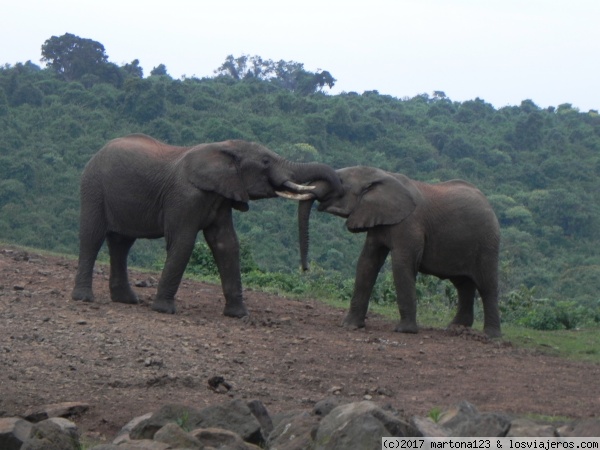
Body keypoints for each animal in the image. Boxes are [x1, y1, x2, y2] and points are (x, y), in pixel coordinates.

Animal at [71, 134, 342, 316]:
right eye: (265, 162)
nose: (305, 269)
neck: (224, 148)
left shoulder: (221, 197)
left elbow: (226, 244)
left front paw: (239, 315)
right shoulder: (184, 197)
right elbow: (183, 242)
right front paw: (164, 310)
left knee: (122, 243)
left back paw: (127, 300)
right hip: (93, 186)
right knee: (93, 236)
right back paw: (84, 298)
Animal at [298, 166, 502, 338]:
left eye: (339, 181)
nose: (305, 269)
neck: (382, 176)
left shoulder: (409, 224)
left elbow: (401, 265)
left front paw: (405, 331)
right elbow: (367, 262)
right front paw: (350, 326)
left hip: (487, 242)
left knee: (486, 285)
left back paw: (490, 336)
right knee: (463, 284)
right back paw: (455, 328)